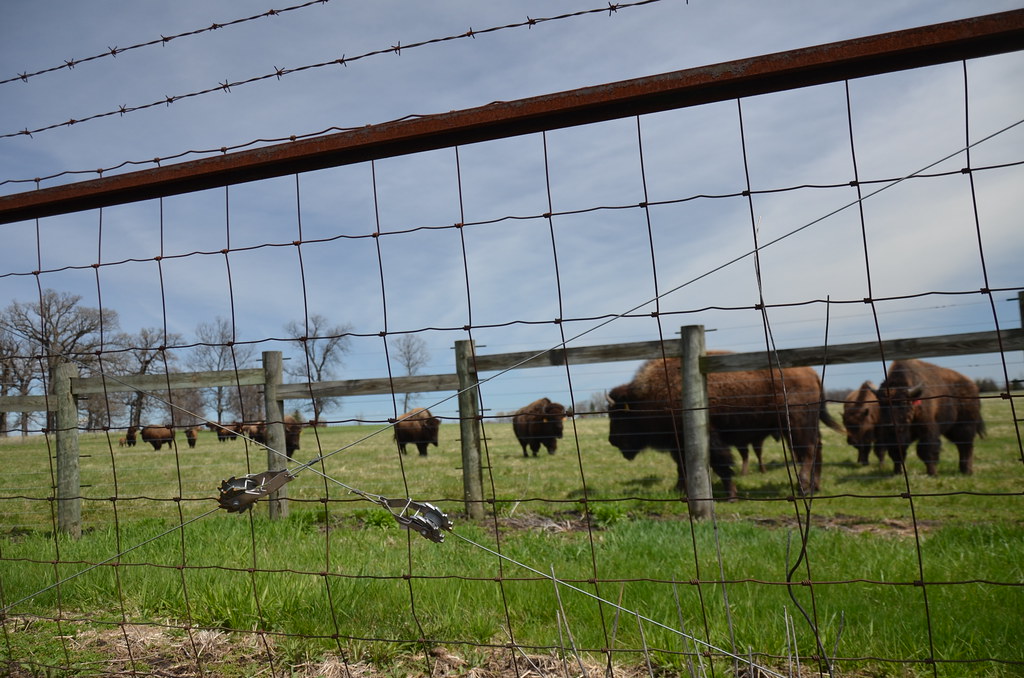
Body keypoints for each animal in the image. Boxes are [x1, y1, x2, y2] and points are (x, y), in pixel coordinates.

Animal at [607, 356, 843, 498]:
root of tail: (812, 373)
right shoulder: (679, 444)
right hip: (806, 425)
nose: (612, 440)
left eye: (619, 416)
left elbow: (721, 465)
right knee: (817, 449)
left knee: (808, 452)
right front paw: (679, 490)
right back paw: (815, 486)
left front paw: (731, 495)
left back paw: (803, 487)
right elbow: (681, 468)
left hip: (795, 424)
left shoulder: (709, 439)